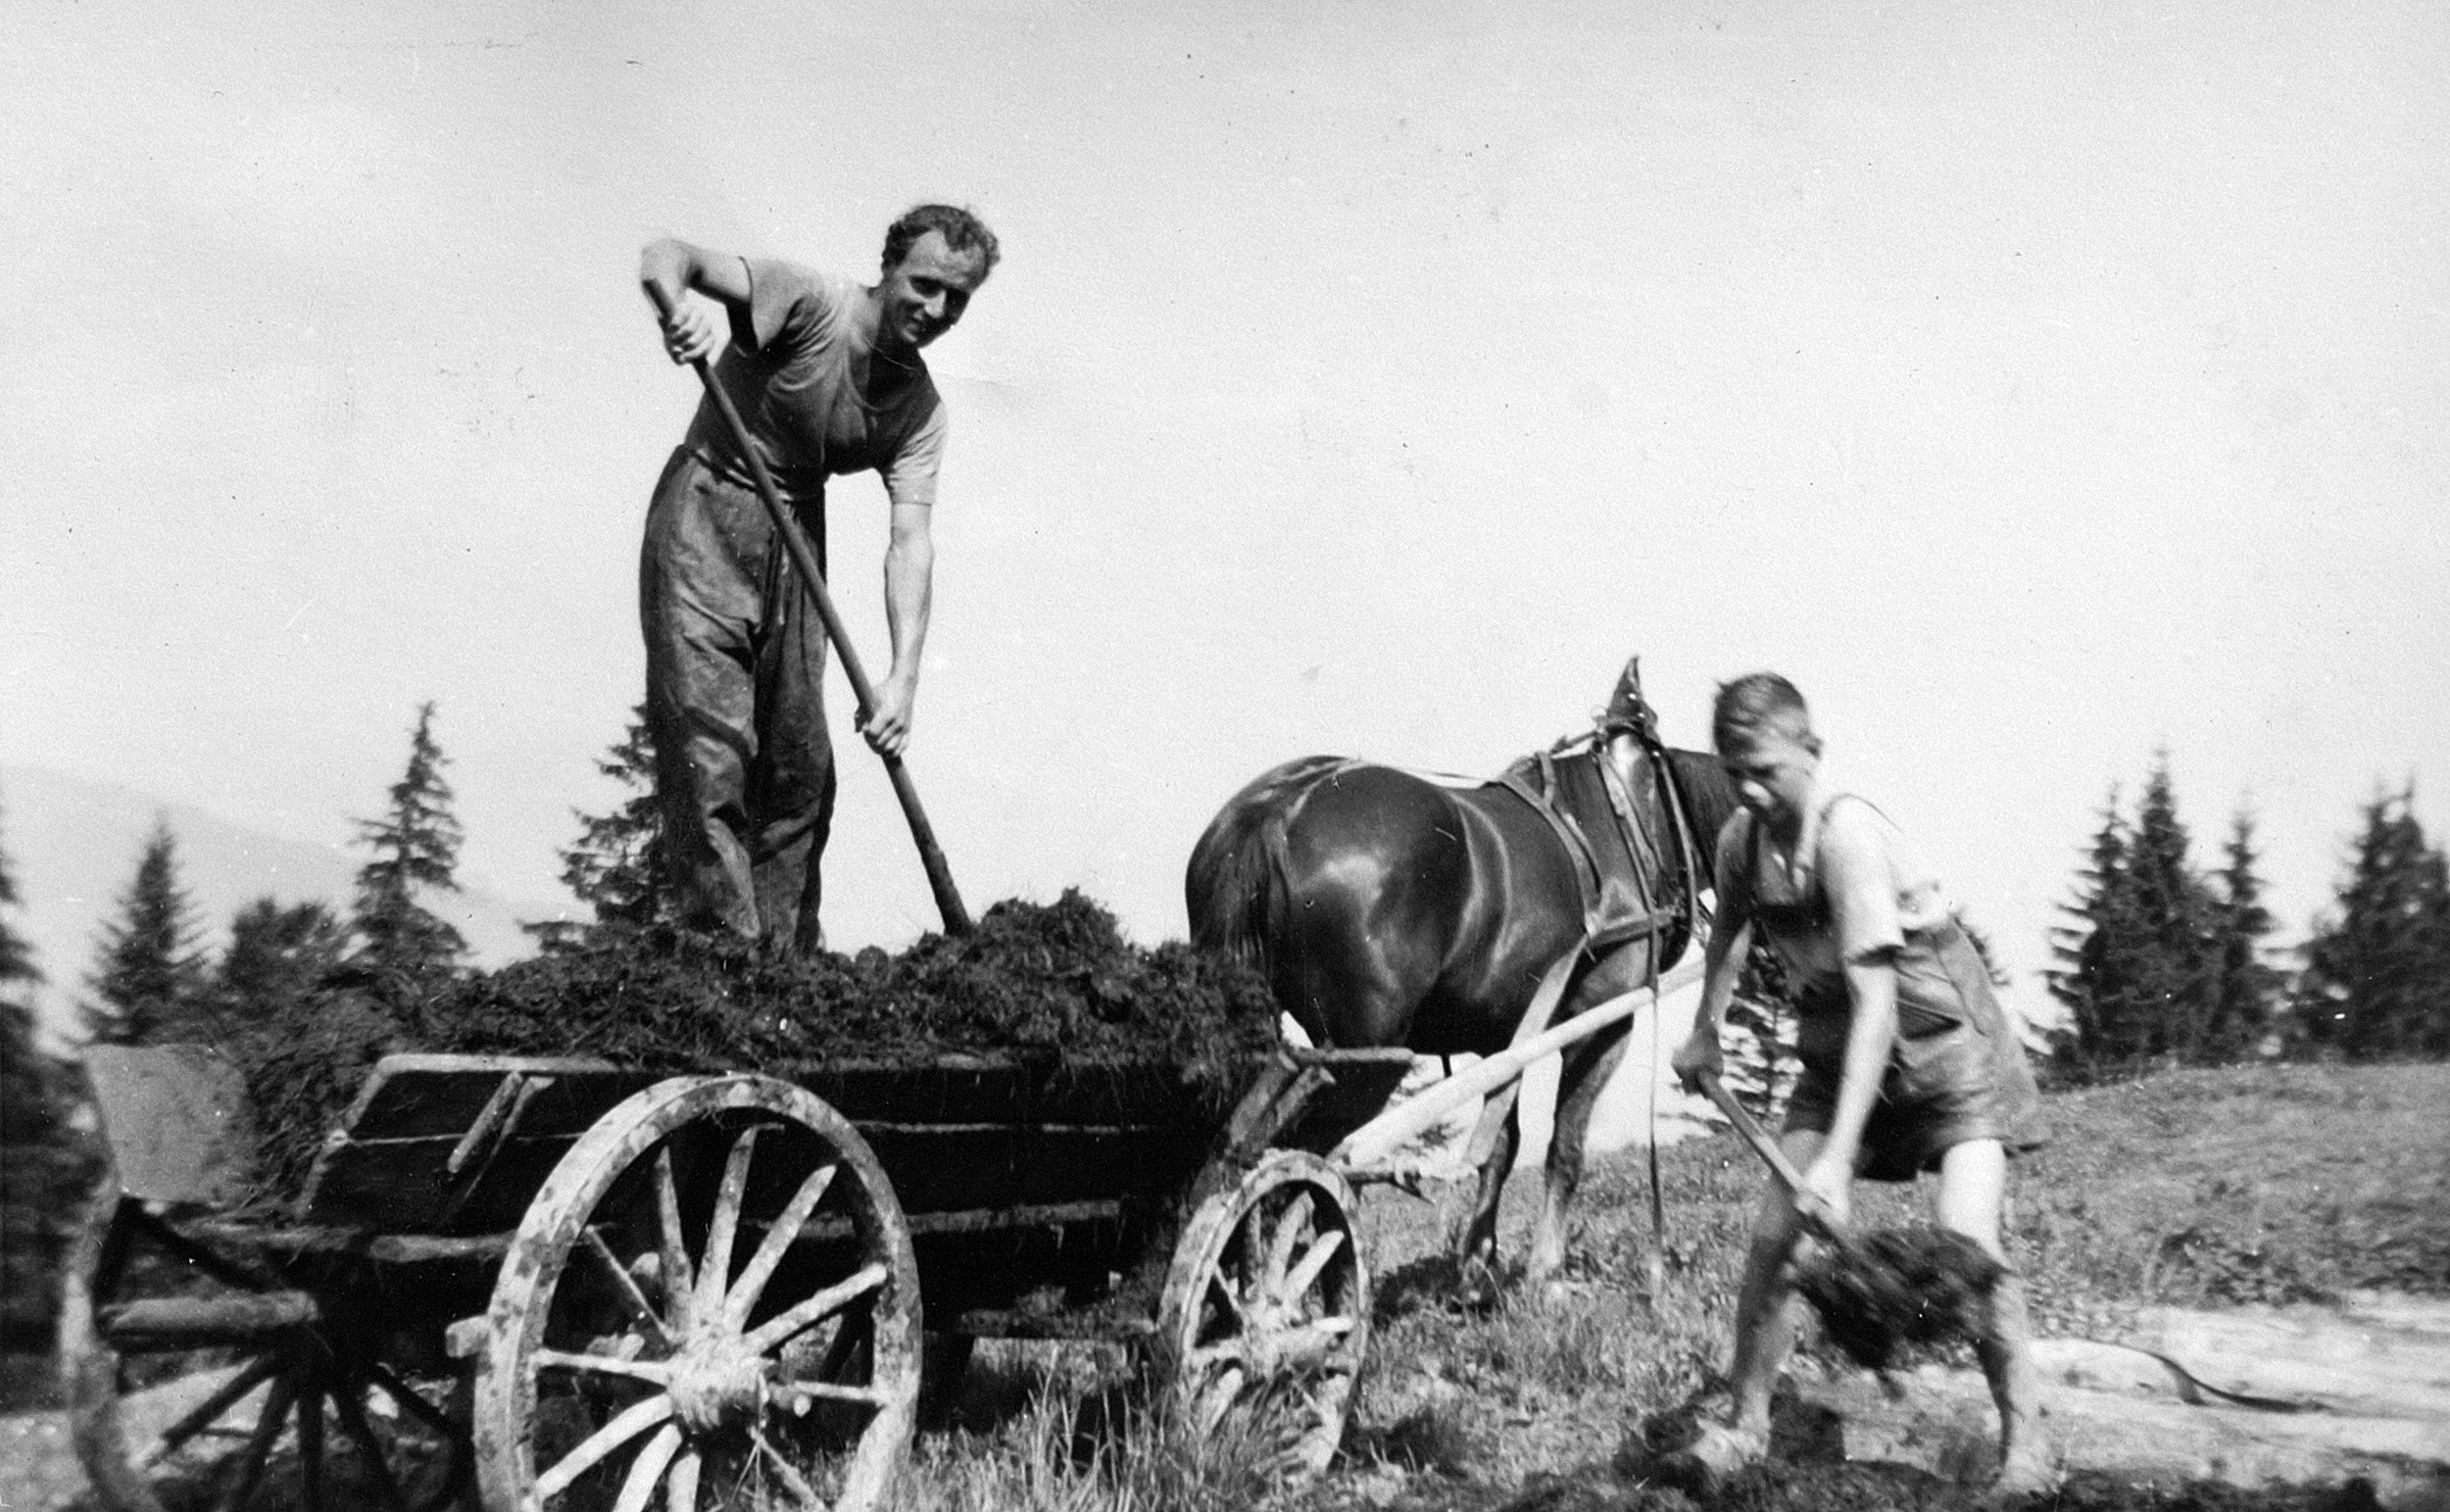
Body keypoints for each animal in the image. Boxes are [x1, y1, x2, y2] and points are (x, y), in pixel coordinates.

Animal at [1185, 660, 1741, 1296]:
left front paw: (1477, 1267)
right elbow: (1564, 1147)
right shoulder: (1602, 1021)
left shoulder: (1500, 1041)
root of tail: (1274, 812)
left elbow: (1500, 1147)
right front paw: (1544, 1271)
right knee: (1309, 1171)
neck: (1637, 816)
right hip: (1366, 1057)